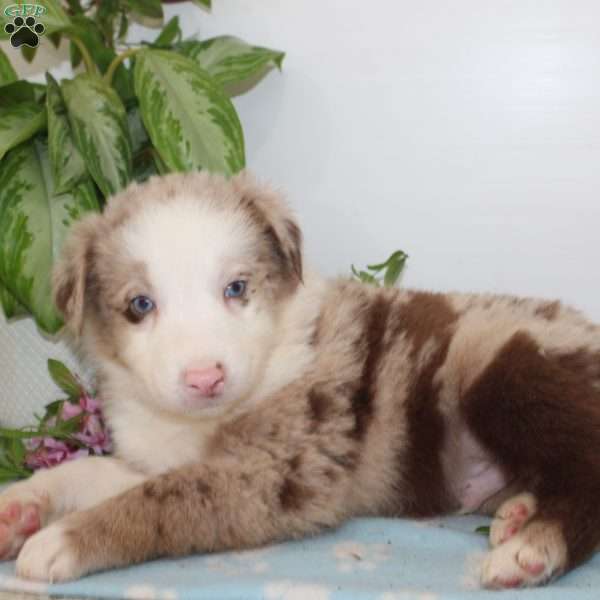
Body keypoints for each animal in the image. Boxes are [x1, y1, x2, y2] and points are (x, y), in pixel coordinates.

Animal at [1, 171, 600, 588]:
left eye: (237, 288)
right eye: (140, 305)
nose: (205, 378)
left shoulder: (277, 472)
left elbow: (162, 498)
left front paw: (62, 541)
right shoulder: (165, 455)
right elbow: (92, 471)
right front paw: (19, 507)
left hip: (504, 365)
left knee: (587, 469)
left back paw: (530, 549)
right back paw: (516, 514)